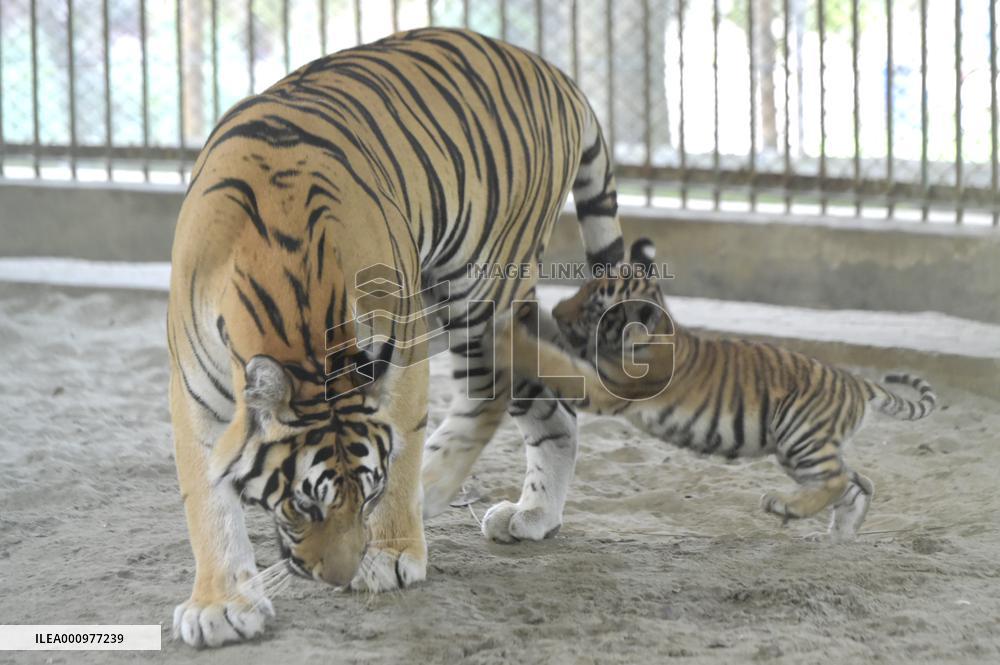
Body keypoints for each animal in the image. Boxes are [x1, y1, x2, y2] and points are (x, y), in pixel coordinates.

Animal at [166, 27, 625, 647]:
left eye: (371, 492)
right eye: (301, 506)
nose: (338, 577)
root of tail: (556, 72)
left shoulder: (402, 344)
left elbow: (403, 440)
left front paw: (390, 553)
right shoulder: (192, 387)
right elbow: (206, 497)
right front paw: (220, 605)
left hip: (480, 285)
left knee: (494, 392)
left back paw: (434, 487)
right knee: (554, 409)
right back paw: (534, 516)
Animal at [501, 238, 936, 542]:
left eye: (593, 308)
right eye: (582, 288)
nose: (557, 310)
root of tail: (855, 381)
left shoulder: (606, 382)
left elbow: (555, 360)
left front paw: (510, 337)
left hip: (801, 434)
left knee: (838, 479)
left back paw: (785, 506)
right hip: (795, 451)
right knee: (855, 483)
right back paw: (837, 536)